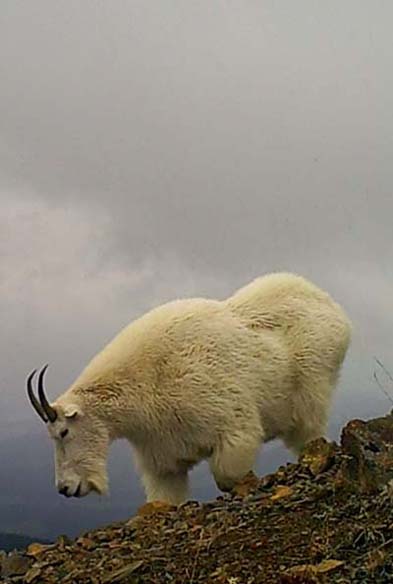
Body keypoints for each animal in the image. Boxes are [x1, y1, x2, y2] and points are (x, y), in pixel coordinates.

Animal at [28, 274, 352, 506]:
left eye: (63, 432)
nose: (65, 488)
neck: (146, 381)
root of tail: (333, 309)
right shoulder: (162, 461)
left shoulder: (232, 427)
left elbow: (228, 476)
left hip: (313, 387)